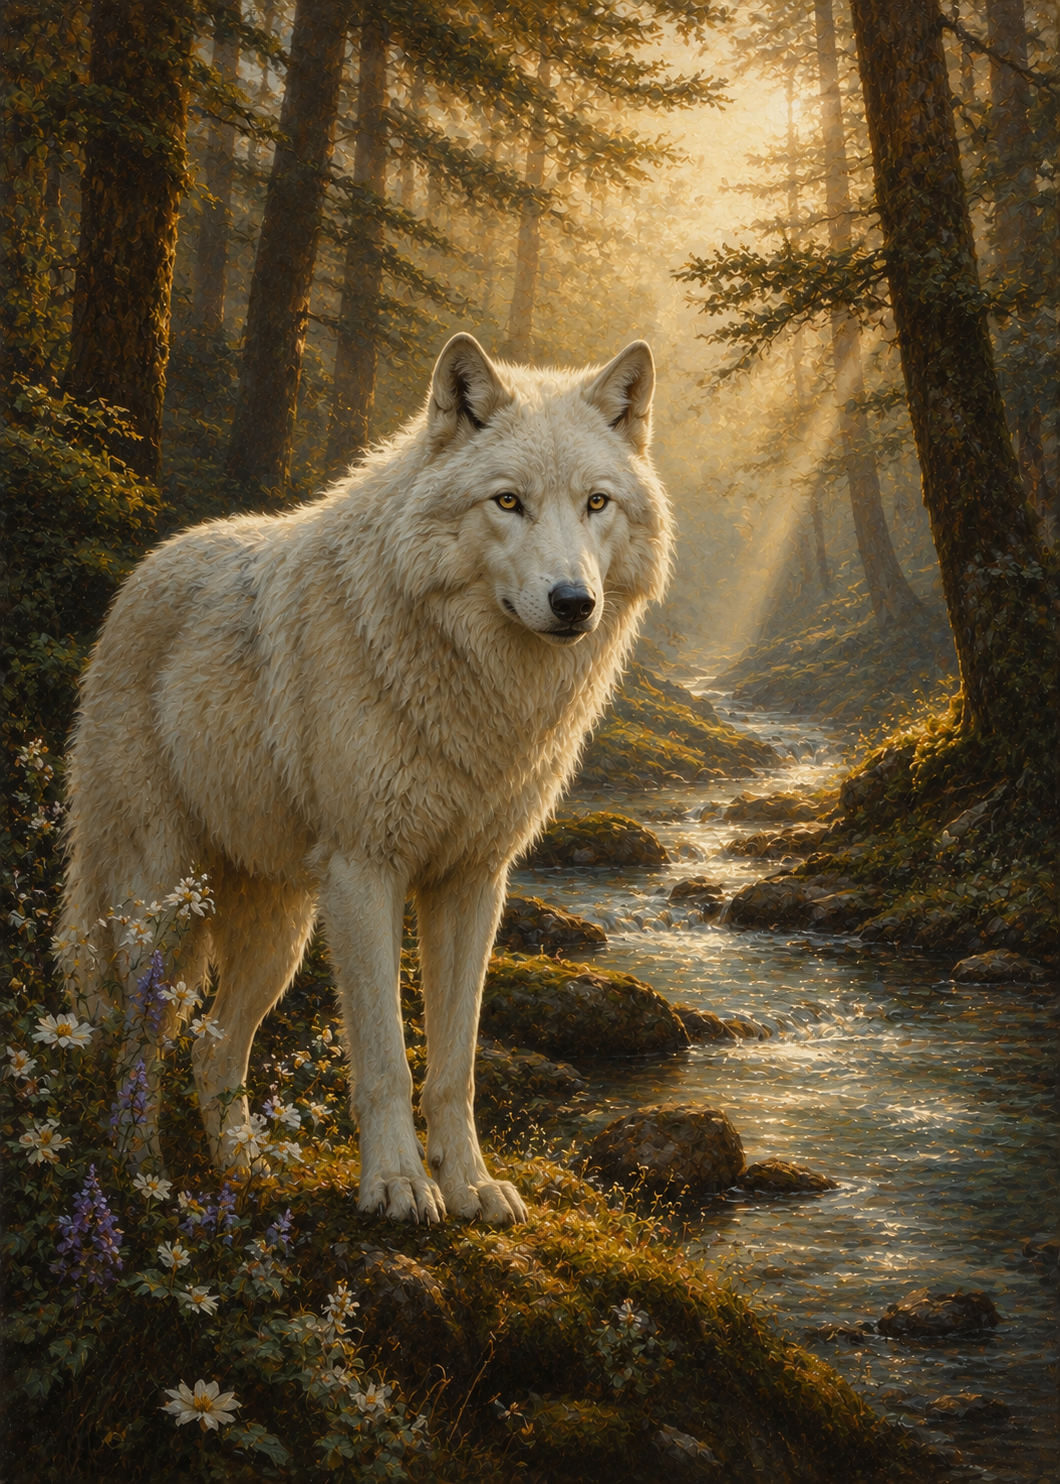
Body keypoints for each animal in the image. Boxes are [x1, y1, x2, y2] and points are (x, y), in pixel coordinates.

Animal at [58, 334, 672, 1225]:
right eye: (508, 502)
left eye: (596, 503)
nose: (573, 602)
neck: (480, 694)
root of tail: (144, 570)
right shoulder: (366, 872)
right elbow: (385, 1059)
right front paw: (398, 1185)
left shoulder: (473, 882)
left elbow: (454, 1065)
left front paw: (472, 1185)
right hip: (164, 909)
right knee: (142, 1045)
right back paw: (141, 1177)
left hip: (278, 934)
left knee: (216, 1048)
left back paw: (242, 1174)